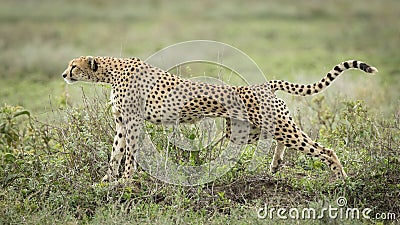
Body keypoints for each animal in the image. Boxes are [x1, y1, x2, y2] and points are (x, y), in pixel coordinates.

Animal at [61, 55, 376, 181]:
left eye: (74, 66)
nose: (64, 74)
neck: (110, 71)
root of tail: (263, 85)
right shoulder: (121, 123)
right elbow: (116, 152)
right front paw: (106, 180)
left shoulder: (133, 122)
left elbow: (130, 154)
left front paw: (125, 181)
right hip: (247, 130)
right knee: (282, 140)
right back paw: (275, 164)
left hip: (269, 127)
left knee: (322, 149)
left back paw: (341, 179)